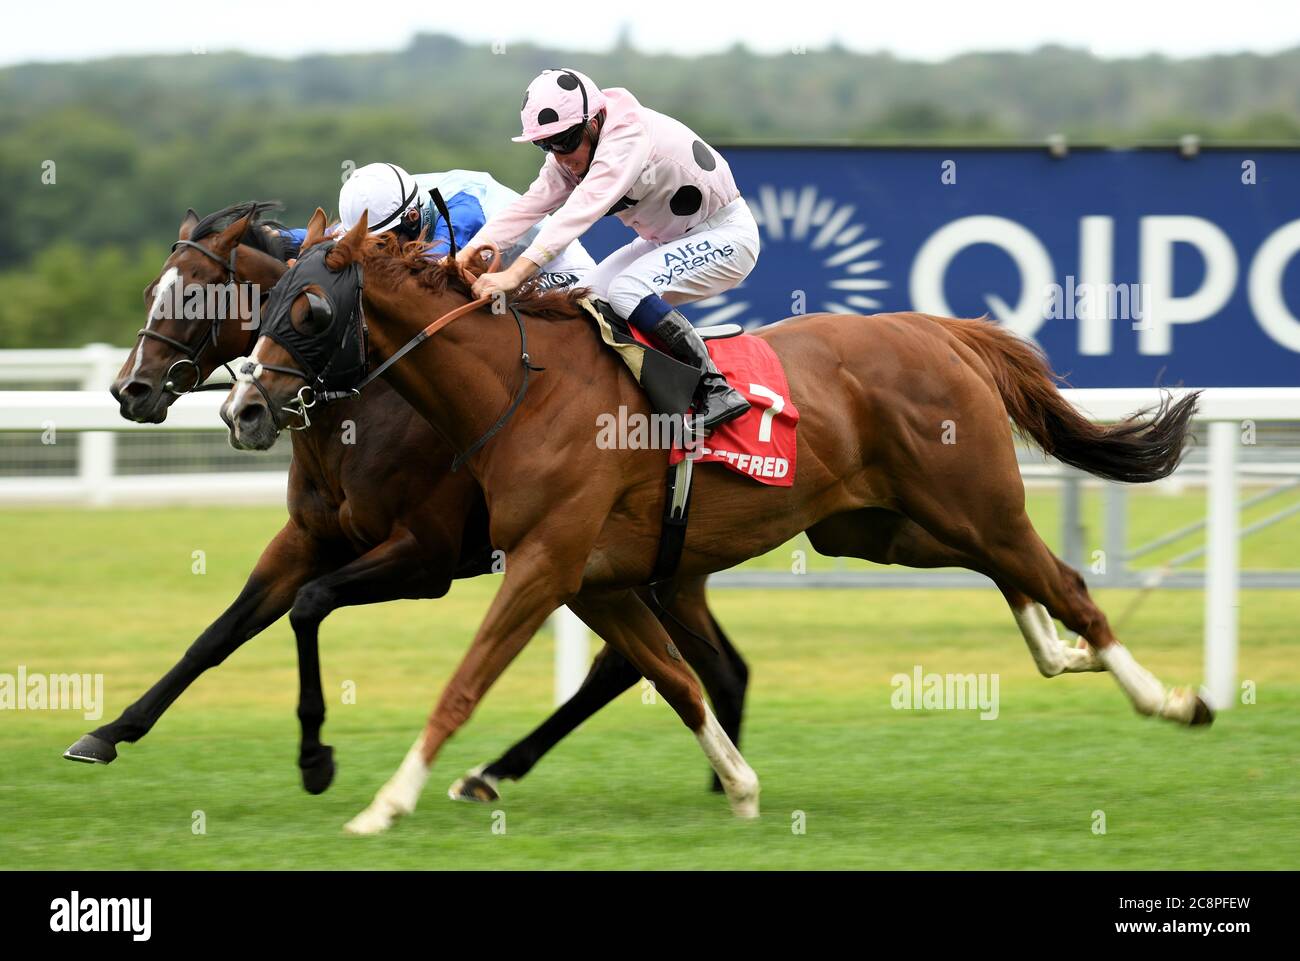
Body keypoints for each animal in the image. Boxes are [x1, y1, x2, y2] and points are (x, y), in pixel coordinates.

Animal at [63, 205, 754, 806]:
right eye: (151, 289)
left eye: (194, 296)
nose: (130, 390)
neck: (363, 406)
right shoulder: (307, 539)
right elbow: (219, 634)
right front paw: (108, 733)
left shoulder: (426, 557)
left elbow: (309, 604)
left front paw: (315, 759)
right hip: (662, 568)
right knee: (704, 667)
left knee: (634, 668)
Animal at [220, 211, 1206, 832]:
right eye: (265, 301)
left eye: (310, 308)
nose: (243, 409)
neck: (519, 387)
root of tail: (942, 330)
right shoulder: (593, 578)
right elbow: (677, 680)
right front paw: (740, 784)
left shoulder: (538, 563)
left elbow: (465, 682)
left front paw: (384, 801)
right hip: (881, 526)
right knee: (1014, 577)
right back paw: (1062, 655)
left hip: (970, 501)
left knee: (1063, 579)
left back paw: (1168, 697)